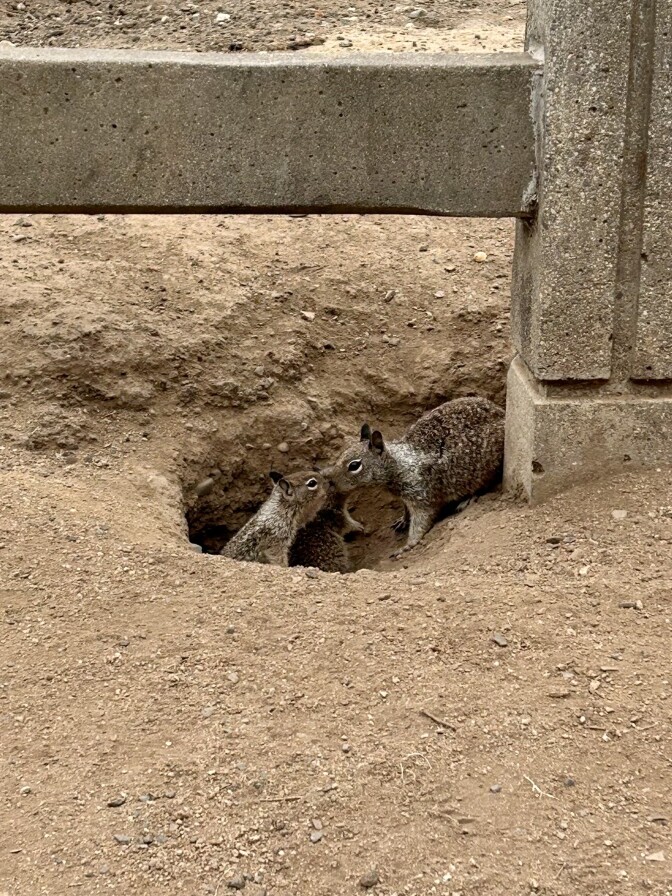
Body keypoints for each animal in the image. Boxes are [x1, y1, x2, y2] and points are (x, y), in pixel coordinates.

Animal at [322, 396, 505, 555]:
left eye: (354, 466)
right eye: (340, 455)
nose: (331, 481)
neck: (397, 463)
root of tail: (502, 412)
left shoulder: (421, 495)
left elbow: (420, 522)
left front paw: (407, 545)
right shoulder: (405, 496)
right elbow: (406, 509)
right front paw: (403, 520)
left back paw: (468, 498)